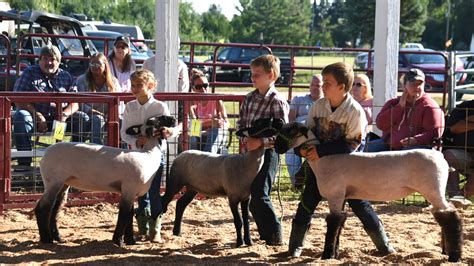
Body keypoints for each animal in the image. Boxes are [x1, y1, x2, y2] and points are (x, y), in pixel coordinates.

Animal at [34, 115, 176, 246]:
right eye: (159, 119)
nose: (174, 119)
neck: (148, 155)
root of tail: (45, 154)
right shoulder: (129, 189)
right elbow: (124, 214)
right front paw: (118, 241)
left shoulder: (130, 192)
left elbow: (130, 215)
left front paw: (130, 240)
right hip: (53, 181)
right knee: (43, 208)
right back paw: (46, 239)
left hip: (63, 183)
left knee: (55, 208)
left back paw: (57, 237)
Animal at [274, 122, 462, 262]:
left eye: (291, 131)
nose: (276, 148)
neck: (323, 161)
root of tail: (442, 159)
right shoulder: (343, 196)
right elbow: (340, 222)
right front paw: (334, 254)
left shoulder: (335, 194)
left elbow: (333, 223)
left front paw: (326, 256)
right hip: (435, 191)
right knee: (444, 215)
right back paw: (445, 251)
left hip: (433, 190)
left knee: (451, 217)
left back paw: (454, 256)